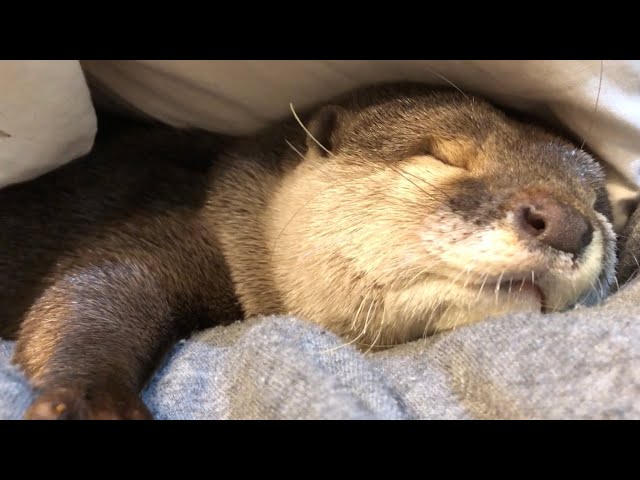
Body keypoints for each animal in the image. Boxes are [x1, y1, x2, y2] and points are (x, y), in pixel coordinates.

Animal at [0, 83, 624, 420]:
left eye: (599, 204)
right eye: (443, 156)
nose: (568, 224)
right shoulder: (172, 222)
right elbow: (99, 287)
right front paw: (89, 398)